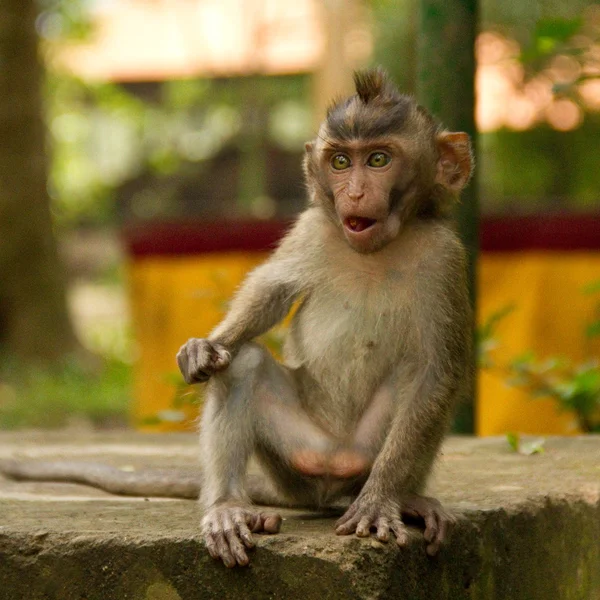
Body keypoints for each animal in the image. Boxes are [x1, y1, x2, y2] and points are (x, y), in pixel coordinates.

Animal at [2, 69, 476, 568]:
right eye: (342, 161)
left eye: (379, 159)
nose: (355, 192)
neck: (376, 251)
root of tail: (330, 474)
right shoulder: (314, 229)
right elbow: (270, 290)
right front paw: (209, 344)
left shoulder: (445, 259)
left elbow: (434, 372)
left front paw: (380, 500)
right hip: (296, 456)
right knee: (243, 365)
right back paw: (229, 506)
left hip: (363, 452)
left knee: (413, 381)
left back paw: (405, 499)